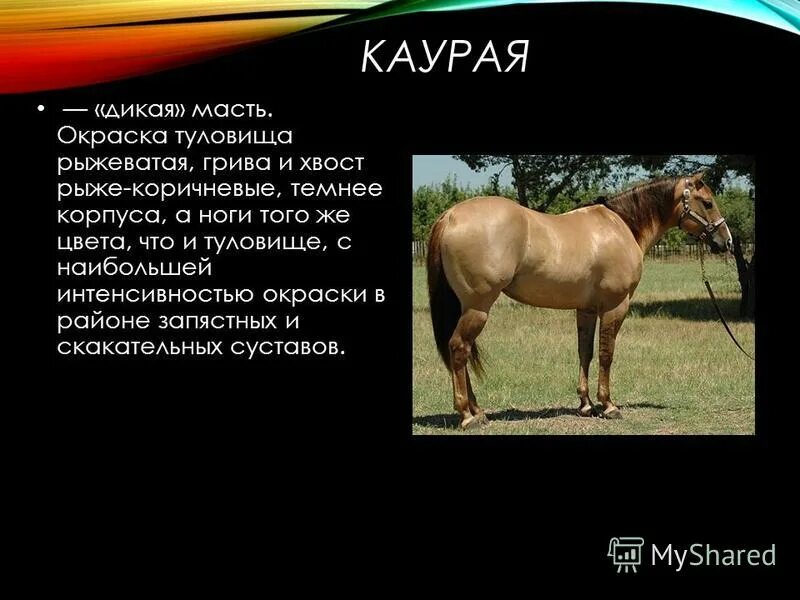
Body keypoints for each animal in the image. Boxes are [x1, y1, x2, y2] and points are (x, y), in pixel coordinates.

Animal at [426, 171, 733, 429]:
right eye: (707, 203)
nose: (726, 241)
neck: (622, 226)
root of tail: (451, 215)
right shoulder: (615, 306)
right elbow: (607, 354)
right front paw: (608, 405)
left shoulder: (585, 309)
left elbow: (585, 352)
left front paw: (586, 405)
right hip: (477, 307)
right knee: (458, 349)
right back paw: (468, 416)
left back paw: (478, 412)